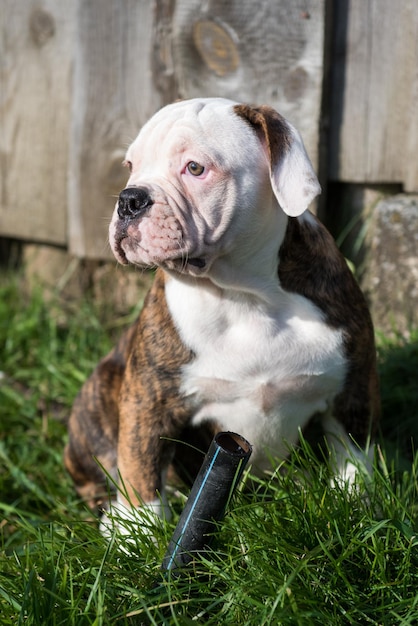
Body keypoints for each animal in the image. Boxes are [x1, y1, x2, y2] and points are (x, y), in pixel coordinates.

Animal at [63, 97, 380, 532]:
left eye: (195, 168)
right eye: (130, 166)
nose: (128, 199)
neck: (243, 295)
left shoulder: (351, 388)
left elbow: (353, 454)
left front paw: (355, 503)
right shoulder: (149, 397)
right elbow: (140, 459)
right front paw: (137, 528)